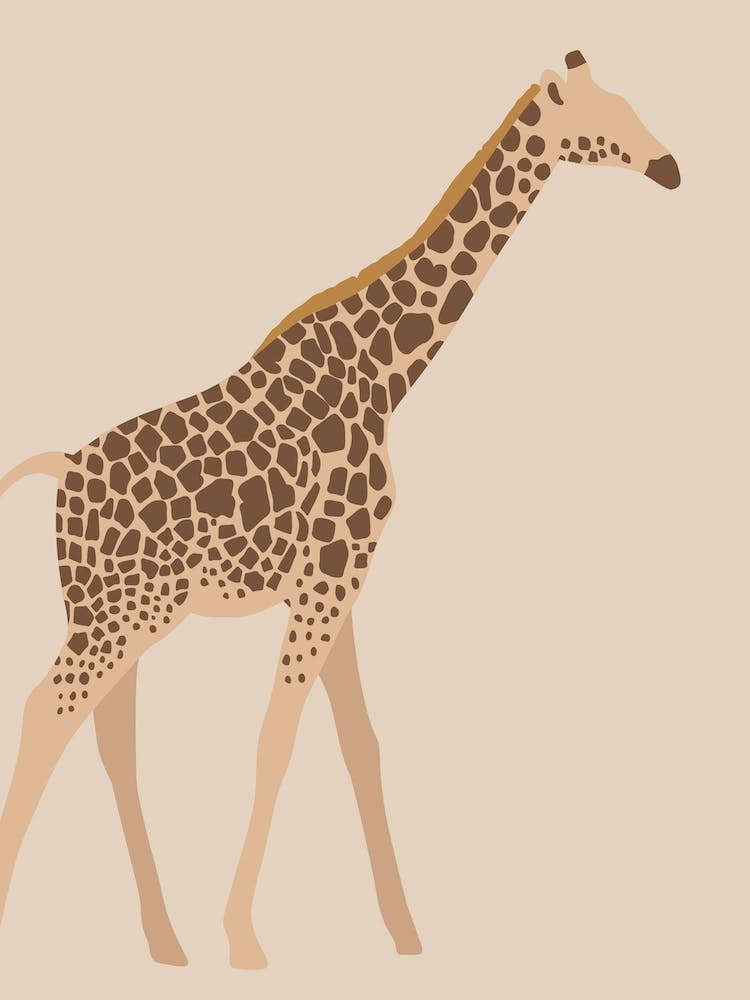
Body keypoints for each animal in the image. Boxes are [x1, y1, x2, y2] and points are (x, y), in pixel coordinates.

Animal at [0, 51, 680, 969]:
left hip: (126, 612)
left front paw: (406, 935)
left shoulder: (342, 575)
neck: (387, 373)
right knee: (47, 713)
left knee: (109, 741)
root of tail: (62, 468)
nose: (670, 168)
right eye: (601, 114)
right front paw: (245, 939)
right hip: (117, 613)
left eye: (631, 100)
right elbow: (277, 738)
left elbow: (361, 744)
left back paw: (164, 942)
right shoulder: (326, 578)